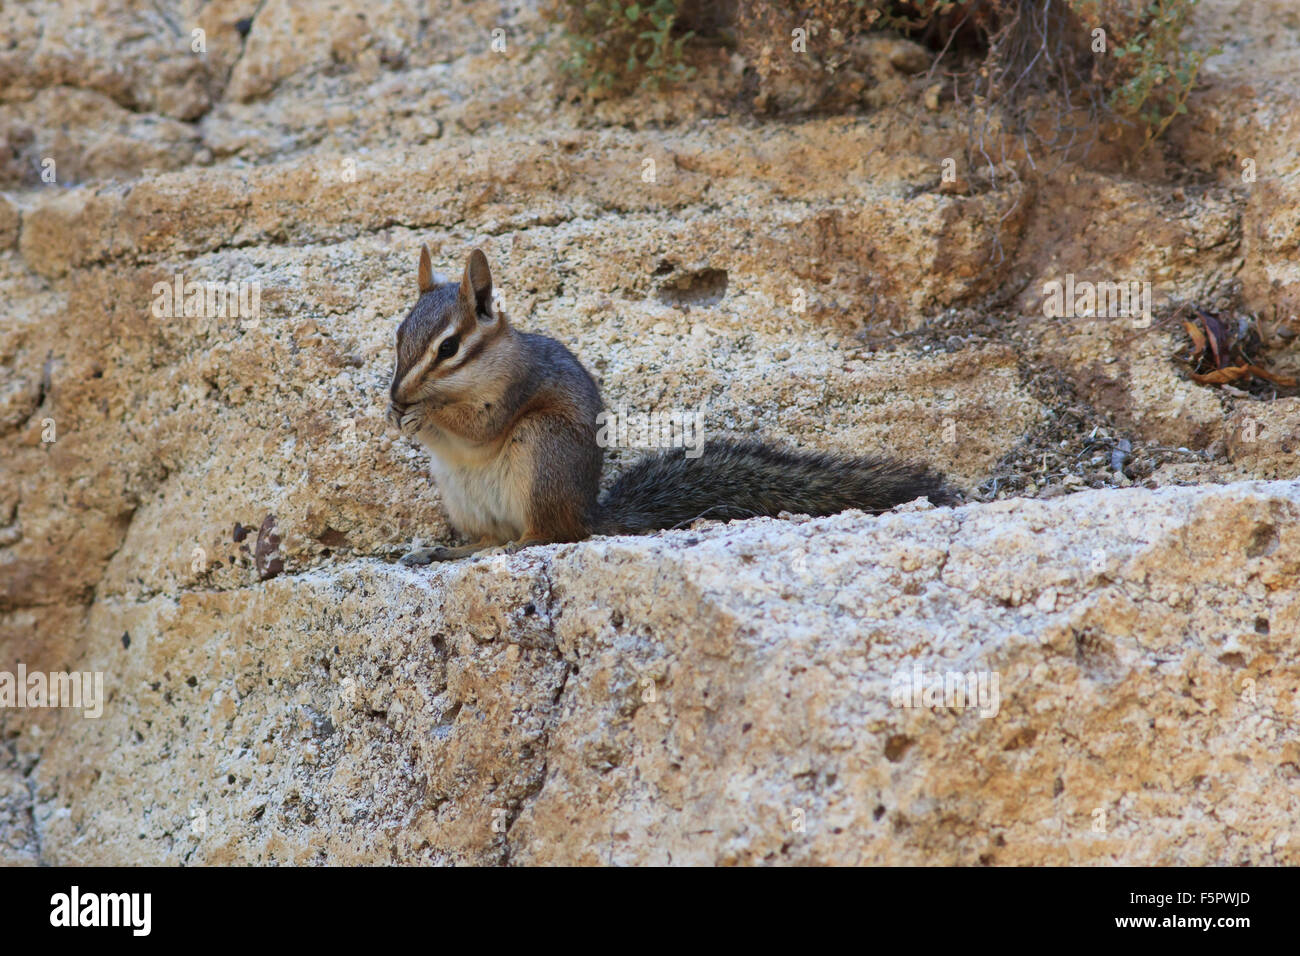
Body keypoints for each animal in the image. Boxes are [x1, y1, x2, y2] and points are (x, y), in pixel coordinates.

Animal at [387, 248, 957, 565]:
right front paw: (395, 415)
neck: (477, 369)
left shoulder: (512, 391)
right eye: (398, 335)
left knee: (553, 534)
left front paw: (425, 414)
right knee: (487, 536)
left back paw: (521, 543)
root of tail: (589, 512)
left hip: (541, 449)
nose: (395, 395)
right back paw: (448, 549)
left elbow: (480, 426)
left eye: (448, 348)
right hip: (459, 492)